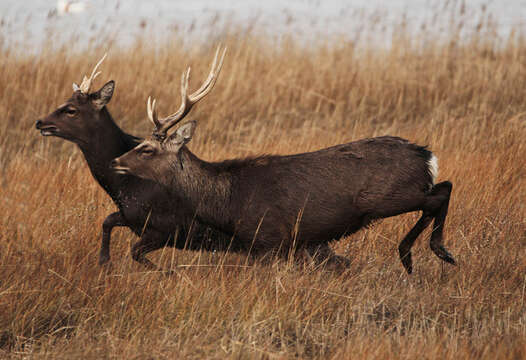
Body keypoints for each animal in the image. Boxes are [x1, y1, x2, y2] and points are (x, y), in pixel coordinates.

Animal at [34, 52, 230, 268]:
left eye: (71, 110)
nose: (40, 122)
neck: (126, 185)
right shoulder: (130, 215)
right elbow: (107, 221)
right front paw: (104, 261)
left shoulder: (171, 227)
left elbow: (135, 251)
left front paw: (167, 271)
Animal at [112, 47, 458, 272]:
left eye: (147, 148)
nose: (116, 160)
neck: (226, 200)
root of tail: (426, 155)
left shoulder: (270, 238)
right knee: (440, 190)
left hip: (387, 196)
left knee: (440, 193)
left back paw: (428, 253)